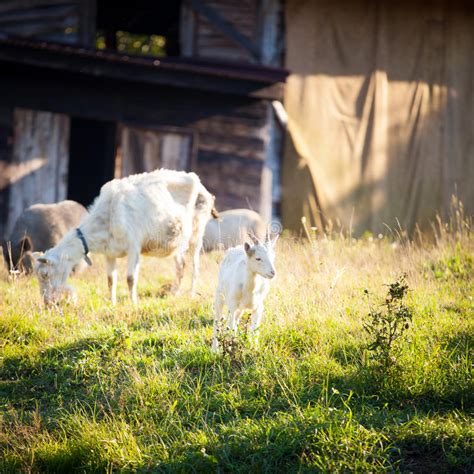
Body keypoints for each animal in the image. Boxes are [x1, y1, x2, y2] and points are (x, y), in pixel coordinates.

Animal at [33, 168, 217, 306]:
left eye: (45, 274)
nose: (47, 303)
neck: (107, 216)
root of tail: (200, 184)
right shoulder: (110, 253)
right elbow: (110, 280)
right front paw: (112, 303)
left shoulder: (134, 246)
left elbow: (130, 278)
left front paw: (133, 303)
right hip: (177, 242)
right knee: (180, 266)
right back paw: (174, 293)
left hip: (197, 232)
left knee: (195, 266)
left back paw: (191, 294)